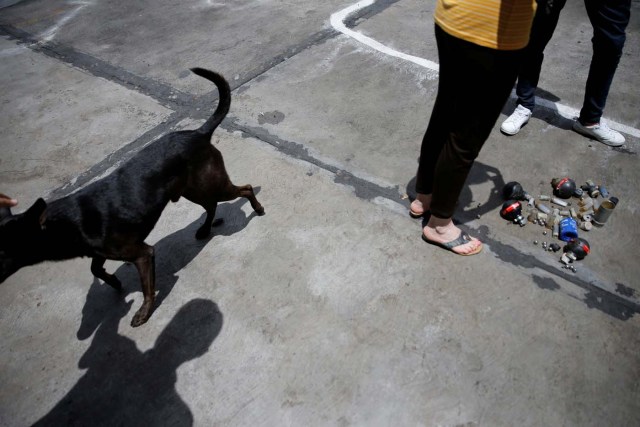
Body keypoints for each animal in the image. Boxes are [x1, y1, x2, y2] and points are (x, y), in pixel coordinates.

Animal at [0, 68, 264, 326]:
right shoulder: (104, 252)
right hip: (194, 190)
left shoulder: (142, 254)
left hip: (212, 185)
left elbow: (147, 288)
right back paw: (206, 229)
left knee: (246, 188)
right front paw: (115, 283)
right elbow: (95, 269)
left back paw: (258, 209)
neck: (67, 223)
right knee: (211, 205)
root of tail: (199, 133)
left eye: (3, 249)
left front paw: (144, 312)